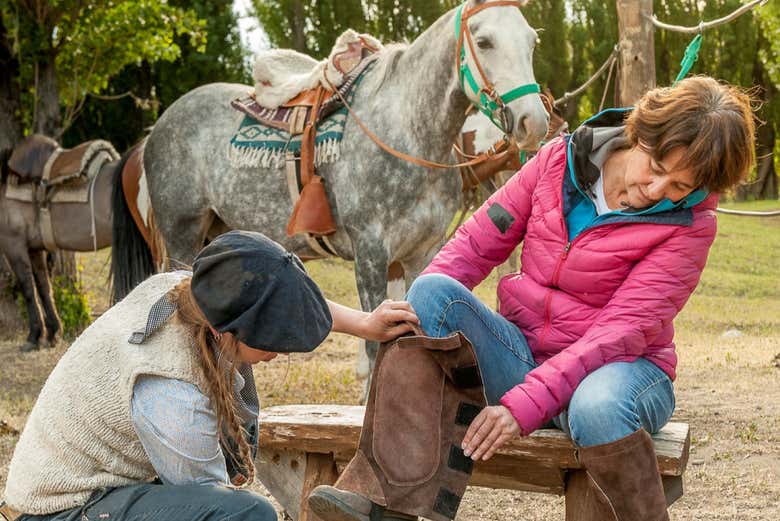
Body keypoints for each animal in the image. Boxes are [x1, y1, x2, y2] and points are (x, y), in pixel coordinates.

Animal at [116, 2, 544, 372]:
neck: (407, 131)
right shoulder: (371, 253)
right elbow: (375, 346)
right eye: (484, 41)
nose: (534, 122)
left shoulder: (422, 252)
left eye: (531, 41)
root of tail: (156, 129)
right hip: (182, 235)